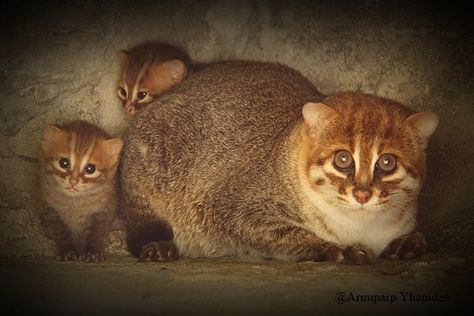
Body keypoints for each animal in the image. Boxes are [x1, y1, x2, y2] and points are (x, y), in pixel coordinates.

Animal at [38, 119, 123, 262]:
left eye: (90, 169)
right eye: (64, 163)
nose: (73, 181)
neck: (75, 203)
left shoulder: (104, 211)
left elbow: (96, 232)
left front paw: (92, 252)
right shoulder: (50, 209)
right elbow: (60, 232)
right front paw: (67, 251)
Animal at [120, 61, 438, 264]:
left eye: (387, 162)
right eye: (343, 158)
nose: (362, 193)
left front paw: (410, 242)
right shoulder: (230, 208)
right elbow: (280, 233)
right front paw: (337, 249)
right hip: (148, 161)